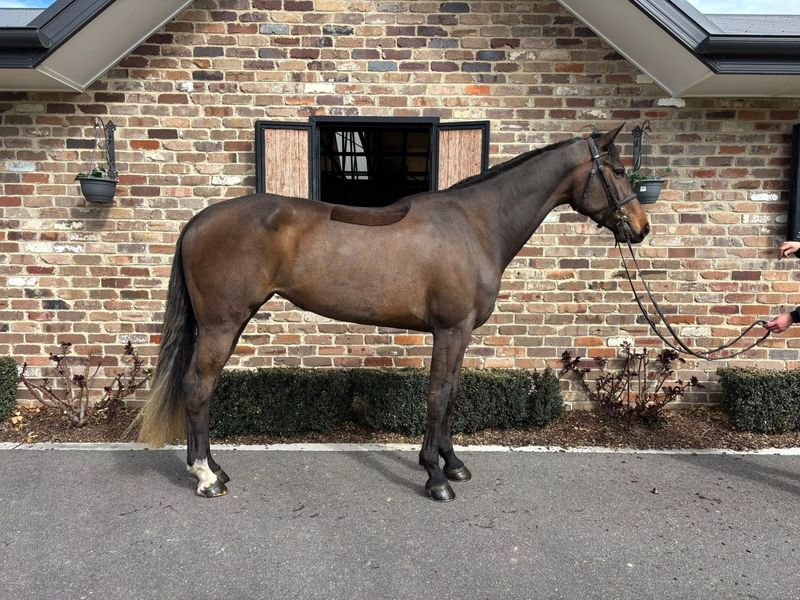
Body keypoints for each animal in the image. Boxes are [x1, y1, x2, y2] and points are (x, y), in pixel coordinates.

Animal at [137, 124, 650, 502]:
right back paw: (206, 477)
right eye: (617, 170)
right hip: (221, 325)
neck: (475, 226)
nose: (642, 228)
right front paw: (436, 478)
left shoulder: (461, 334)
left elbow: (452, 396)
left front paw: (453, 464)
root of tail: (198, 221)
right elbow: (438, 398)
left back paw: (216, 468)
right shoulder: (450, 331)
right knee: (197, 388)